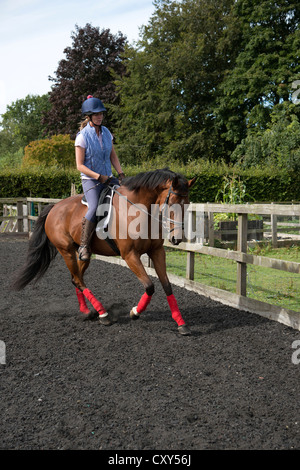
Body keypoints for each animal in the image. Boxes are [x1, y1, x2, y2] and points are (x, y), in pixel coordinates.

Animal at [11, 168, 198, 334]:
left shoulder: (157, 251)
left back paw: (88, 312)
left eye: (187, 205)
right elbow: (149, 286)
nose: (176, 239)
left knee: (76, 278)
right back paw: (103, 314)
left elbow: (167, 286)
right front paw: (135, 312)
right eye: (171, 204)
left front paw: (181, 323)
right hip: (66, 251)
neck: (139, 211)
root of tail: (55, 207)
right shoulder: (130, 255)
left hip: (83, 255)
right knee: (78, 279)